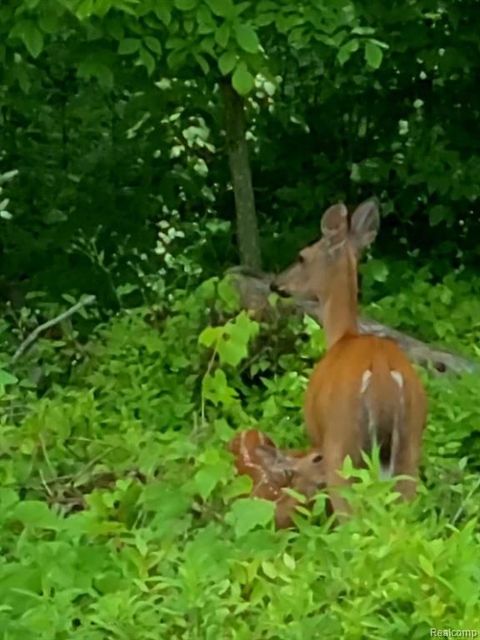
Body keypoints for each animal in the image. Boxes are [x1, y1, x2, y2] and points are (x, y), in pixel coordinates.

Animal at [270, 200, 428, 520]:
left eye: (302, 256)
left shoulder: (317, 436)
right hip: (409, 450)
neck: (342, 337)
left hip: (342, 449)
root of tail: (381, 375)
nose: (276, 284)